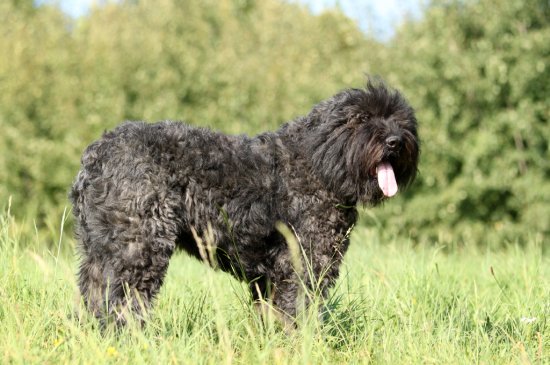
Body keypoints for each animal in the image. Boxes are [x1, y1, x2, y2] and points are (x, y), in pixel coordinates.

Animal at [71, 79, 420, 324]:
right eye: (361, 118)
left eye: (401, 120)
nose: (395, 141)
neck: (318, 161)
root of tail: (95, 156)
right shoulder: (303, 264)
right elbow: (299, 314)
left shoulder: (271, 277)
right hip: (138, 249)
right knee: (122, 304)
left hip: (99, 252)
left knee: (94, 296)